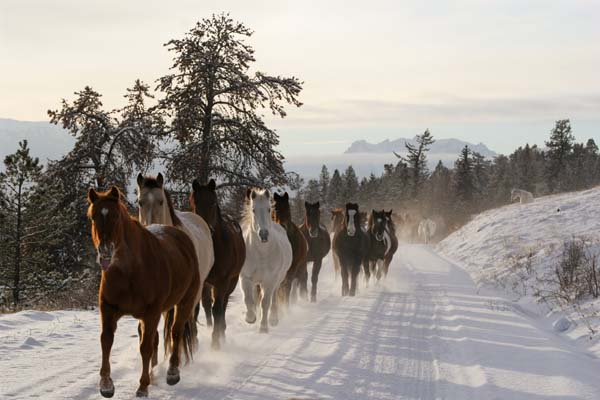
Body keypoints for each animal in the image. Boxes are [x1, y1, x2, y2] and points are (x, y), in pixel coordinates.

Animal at [86, 187, 199, 396]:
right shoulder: (108, 309)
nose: (105, 251)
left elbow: (145, 348)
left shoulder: (151, 313)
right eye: (92, 216)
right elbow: (106, 341)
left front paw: (143, 386)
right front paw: (106, 384)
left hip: (185, 302)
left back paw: (172, 373)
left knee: (176, 332)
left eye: (115, 215)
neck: (129, 271)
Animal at [191, 179, 245, 350]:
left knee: (223, 305)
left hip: (231, 281)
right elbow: (196, 309)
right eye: (195, 201)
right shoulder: (201, 281)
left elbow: (218, 309)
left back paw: (221, 332)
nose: (206, 229)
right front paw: (194, 341)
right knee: (208, 305)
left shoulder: (222, 281)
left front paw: (215, 342)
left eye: (213, 202)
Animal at [241, 189, 292, 332]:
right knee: (253, 297)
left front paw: (263, 327)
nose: (263, 234)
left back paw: (273, 319)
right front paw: (250, 318)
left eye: (269, 209)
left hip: (278, 279)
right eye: (253, 209)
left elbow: (265, 303)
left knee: (273, 297)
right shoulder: (245, 277)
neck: (261, 254)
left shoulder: (269, 280)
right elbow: (248, 299)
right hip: (255, 281)